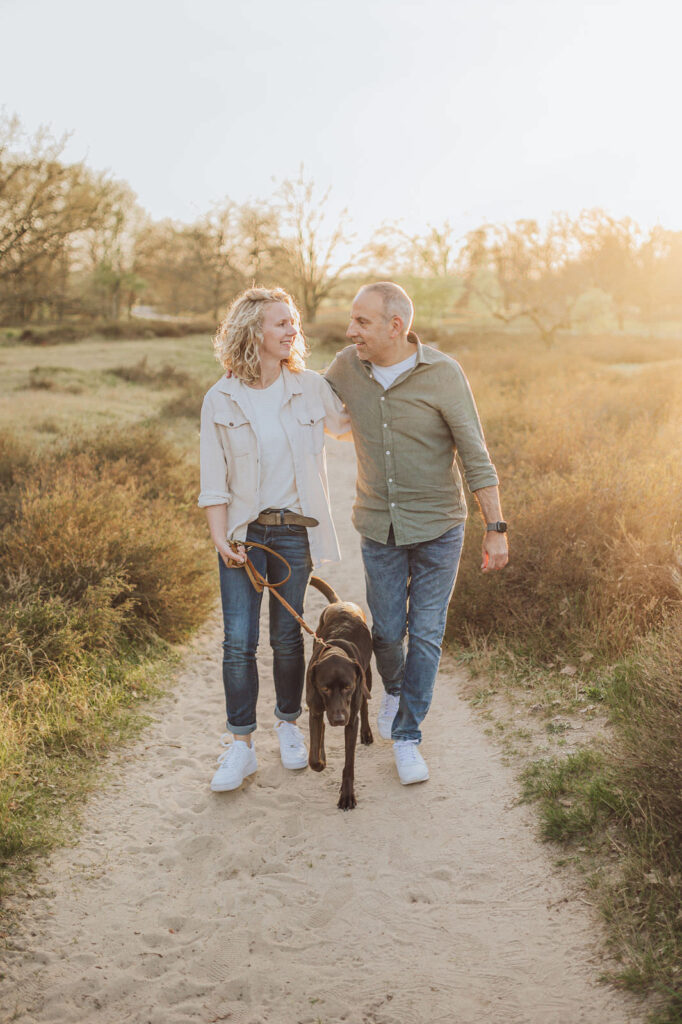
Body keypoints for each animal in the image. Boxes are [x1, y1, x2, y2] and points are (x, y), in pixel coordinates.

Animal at [307, 577, 374, 806]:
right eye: (324, 688)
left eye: (347, 687)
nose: (337, 720)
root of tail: (339, 602)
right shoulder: (315, 710)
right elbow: (314, 758)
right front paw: (321, 759)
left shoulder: (351, 720)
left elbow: (349, 764)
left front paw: (347, 795)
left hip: (367, 677)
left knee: (364, 704)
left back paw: (367, 732)